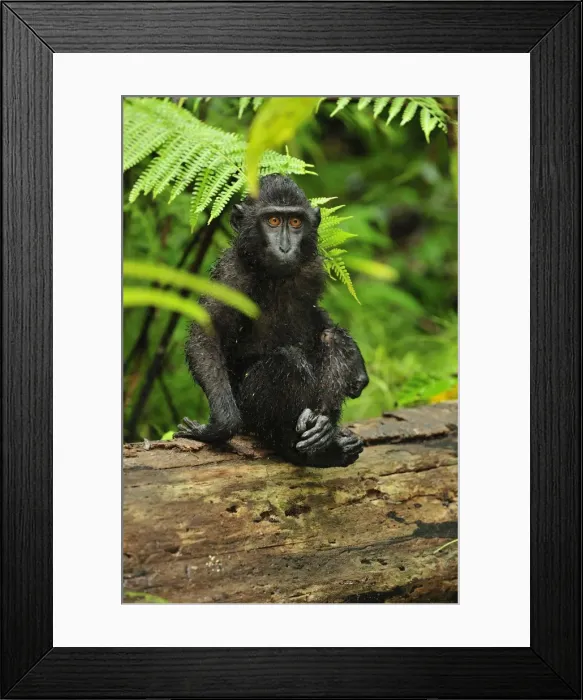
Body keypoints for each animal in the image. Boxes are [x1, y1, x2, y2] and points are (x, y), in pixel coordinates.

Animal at [175, 174, 369, 467]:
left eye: (296, 222)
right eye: (273, 221)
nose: (286, 247)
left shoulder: (312, 268)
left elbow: (318, 318)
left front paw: (357, 367)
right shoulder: (231, 275)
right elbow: (207, 334)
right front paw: (220, 427)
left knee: (330, 338)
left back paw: (322, 427)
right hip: (250, 415)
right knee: (288, 361)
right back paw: (301, 446)